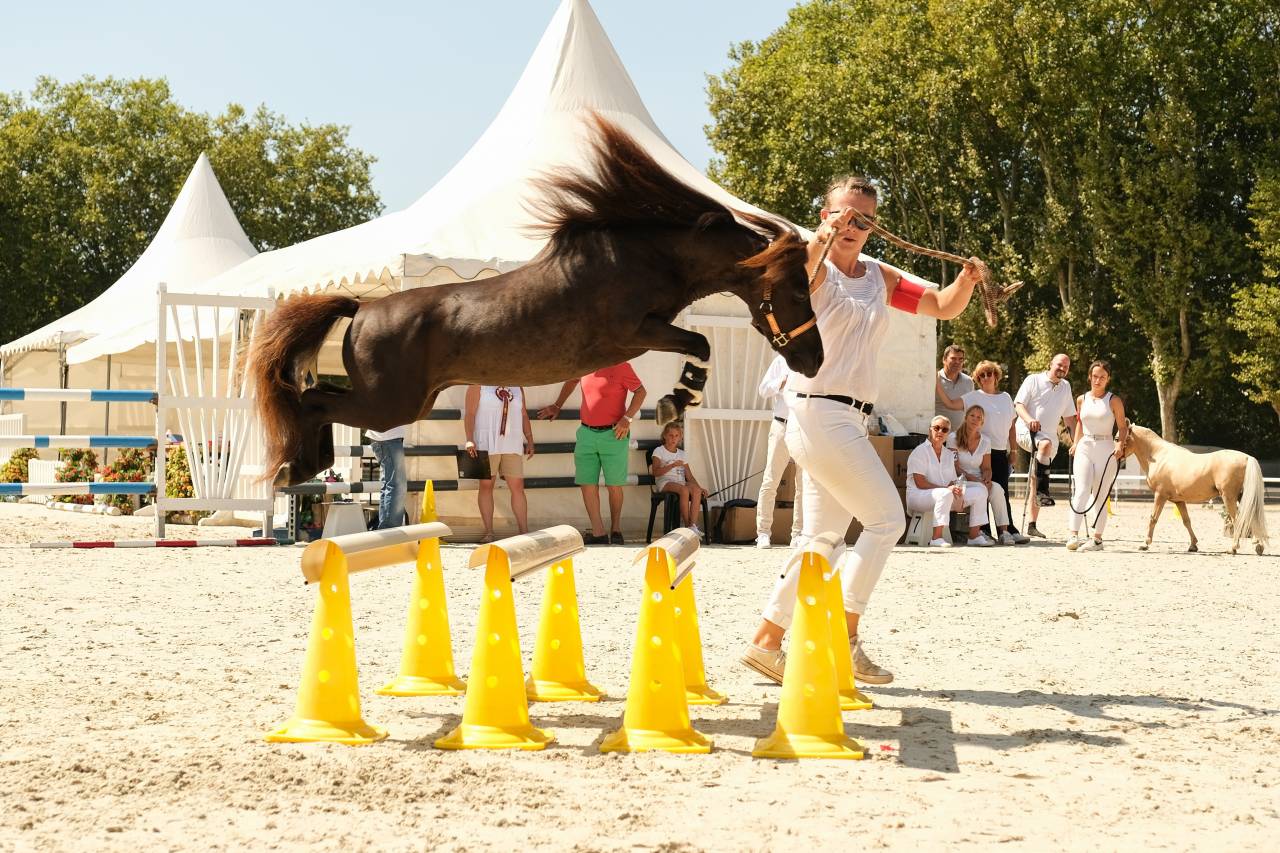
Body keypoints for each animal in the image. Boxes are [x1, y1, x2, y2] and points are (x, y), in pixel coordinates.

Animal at [249, 114, 824, 487]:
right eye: (799, 289)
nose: (814, 360)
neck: (651, 256)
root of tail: (363, 308)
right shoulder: (636, 331)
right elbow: (700, 343)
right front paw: (676, 400)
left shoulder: (642, 336)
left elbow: (697, 343)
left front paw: (675, 399)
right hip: (392, 401)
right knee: (314, 399)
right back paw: (293, 469)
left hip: (409, 400)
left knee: (317, 397)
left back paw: (298, 468)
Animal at [1123, 424, 1269, 554]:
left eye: (1119, 438)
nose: (1118, 456)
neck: (1159, 456)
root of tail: (1247, 457)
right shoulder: (1179, 501)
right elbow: (1187, 521)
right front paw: (1193, 545)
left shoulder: (1160, 495)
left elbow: (1153, 518)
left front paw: (1145, 544)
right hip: (1243, 497)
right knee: (1250, 519)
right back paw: (1258, 546)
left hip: (1229, 497)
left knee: (1238, 520)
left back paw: (1233, 548)